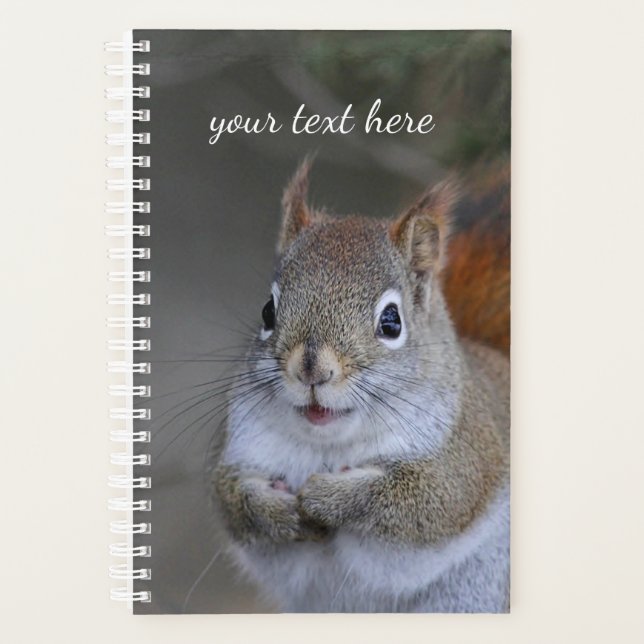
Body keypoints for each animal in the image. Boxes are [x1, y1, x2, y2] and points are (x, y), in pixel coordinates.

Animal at [211, 159, 510, 613]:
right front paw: (279, 511)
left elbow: (422, 499)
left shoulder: (467, 453)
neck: (328, 444)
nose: (312, 369)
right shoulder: (241, 447)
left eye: (391, 322)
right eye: (267, 311)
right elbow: (233, 501)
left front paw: (328, 497)